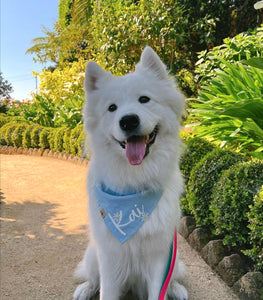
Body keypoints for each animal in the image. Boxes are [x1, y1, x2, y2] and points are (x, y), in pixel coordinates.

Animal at [74, 47, 189, 300]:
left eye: (144, 99)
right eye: (112, 108)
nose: (128, 121)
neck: (134, 183)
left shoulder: (160, 257)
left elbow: (159, 291)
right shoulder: (109, 256)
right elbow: (105, 291)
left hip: (175, 260)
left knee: (173, 278)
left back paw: (177, 289)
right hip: (93, 255)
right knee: (92, 277)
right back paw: (85, 289)